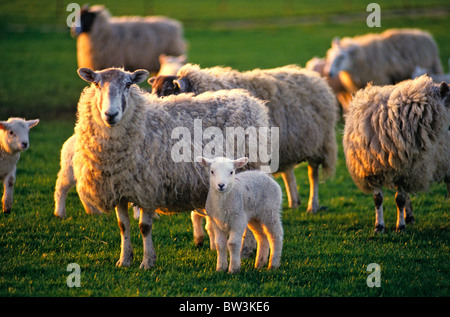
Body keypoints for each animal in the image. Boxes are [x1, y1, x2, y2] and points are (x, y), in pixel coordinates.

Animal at [72, 67, 272, 270]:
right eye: (96, 84)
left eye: (128, 85)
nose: (111, 114)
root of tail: (249, 100)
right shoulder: (119, 189)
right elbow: (123, 226)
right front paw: (124, 259)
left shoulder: (149, 188)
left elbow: (144, 228)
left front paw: (147, 261)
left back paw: (246, 250)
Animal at [148, 63, 338, 214]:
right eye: (153, 90)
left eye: (168, 90)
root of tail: (314, 77)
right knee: (288, 173)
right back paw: (294, 202)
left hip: (317, 143)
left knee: (313, 175)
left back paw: (312, 206)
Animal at [342, 74, 448, 232]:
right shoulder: (373, 170)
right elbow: (378, 199)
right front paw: (379, 226)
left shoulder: (405, 172)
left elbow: (400, 200)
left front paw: (400, 226)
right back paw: (409, 217)